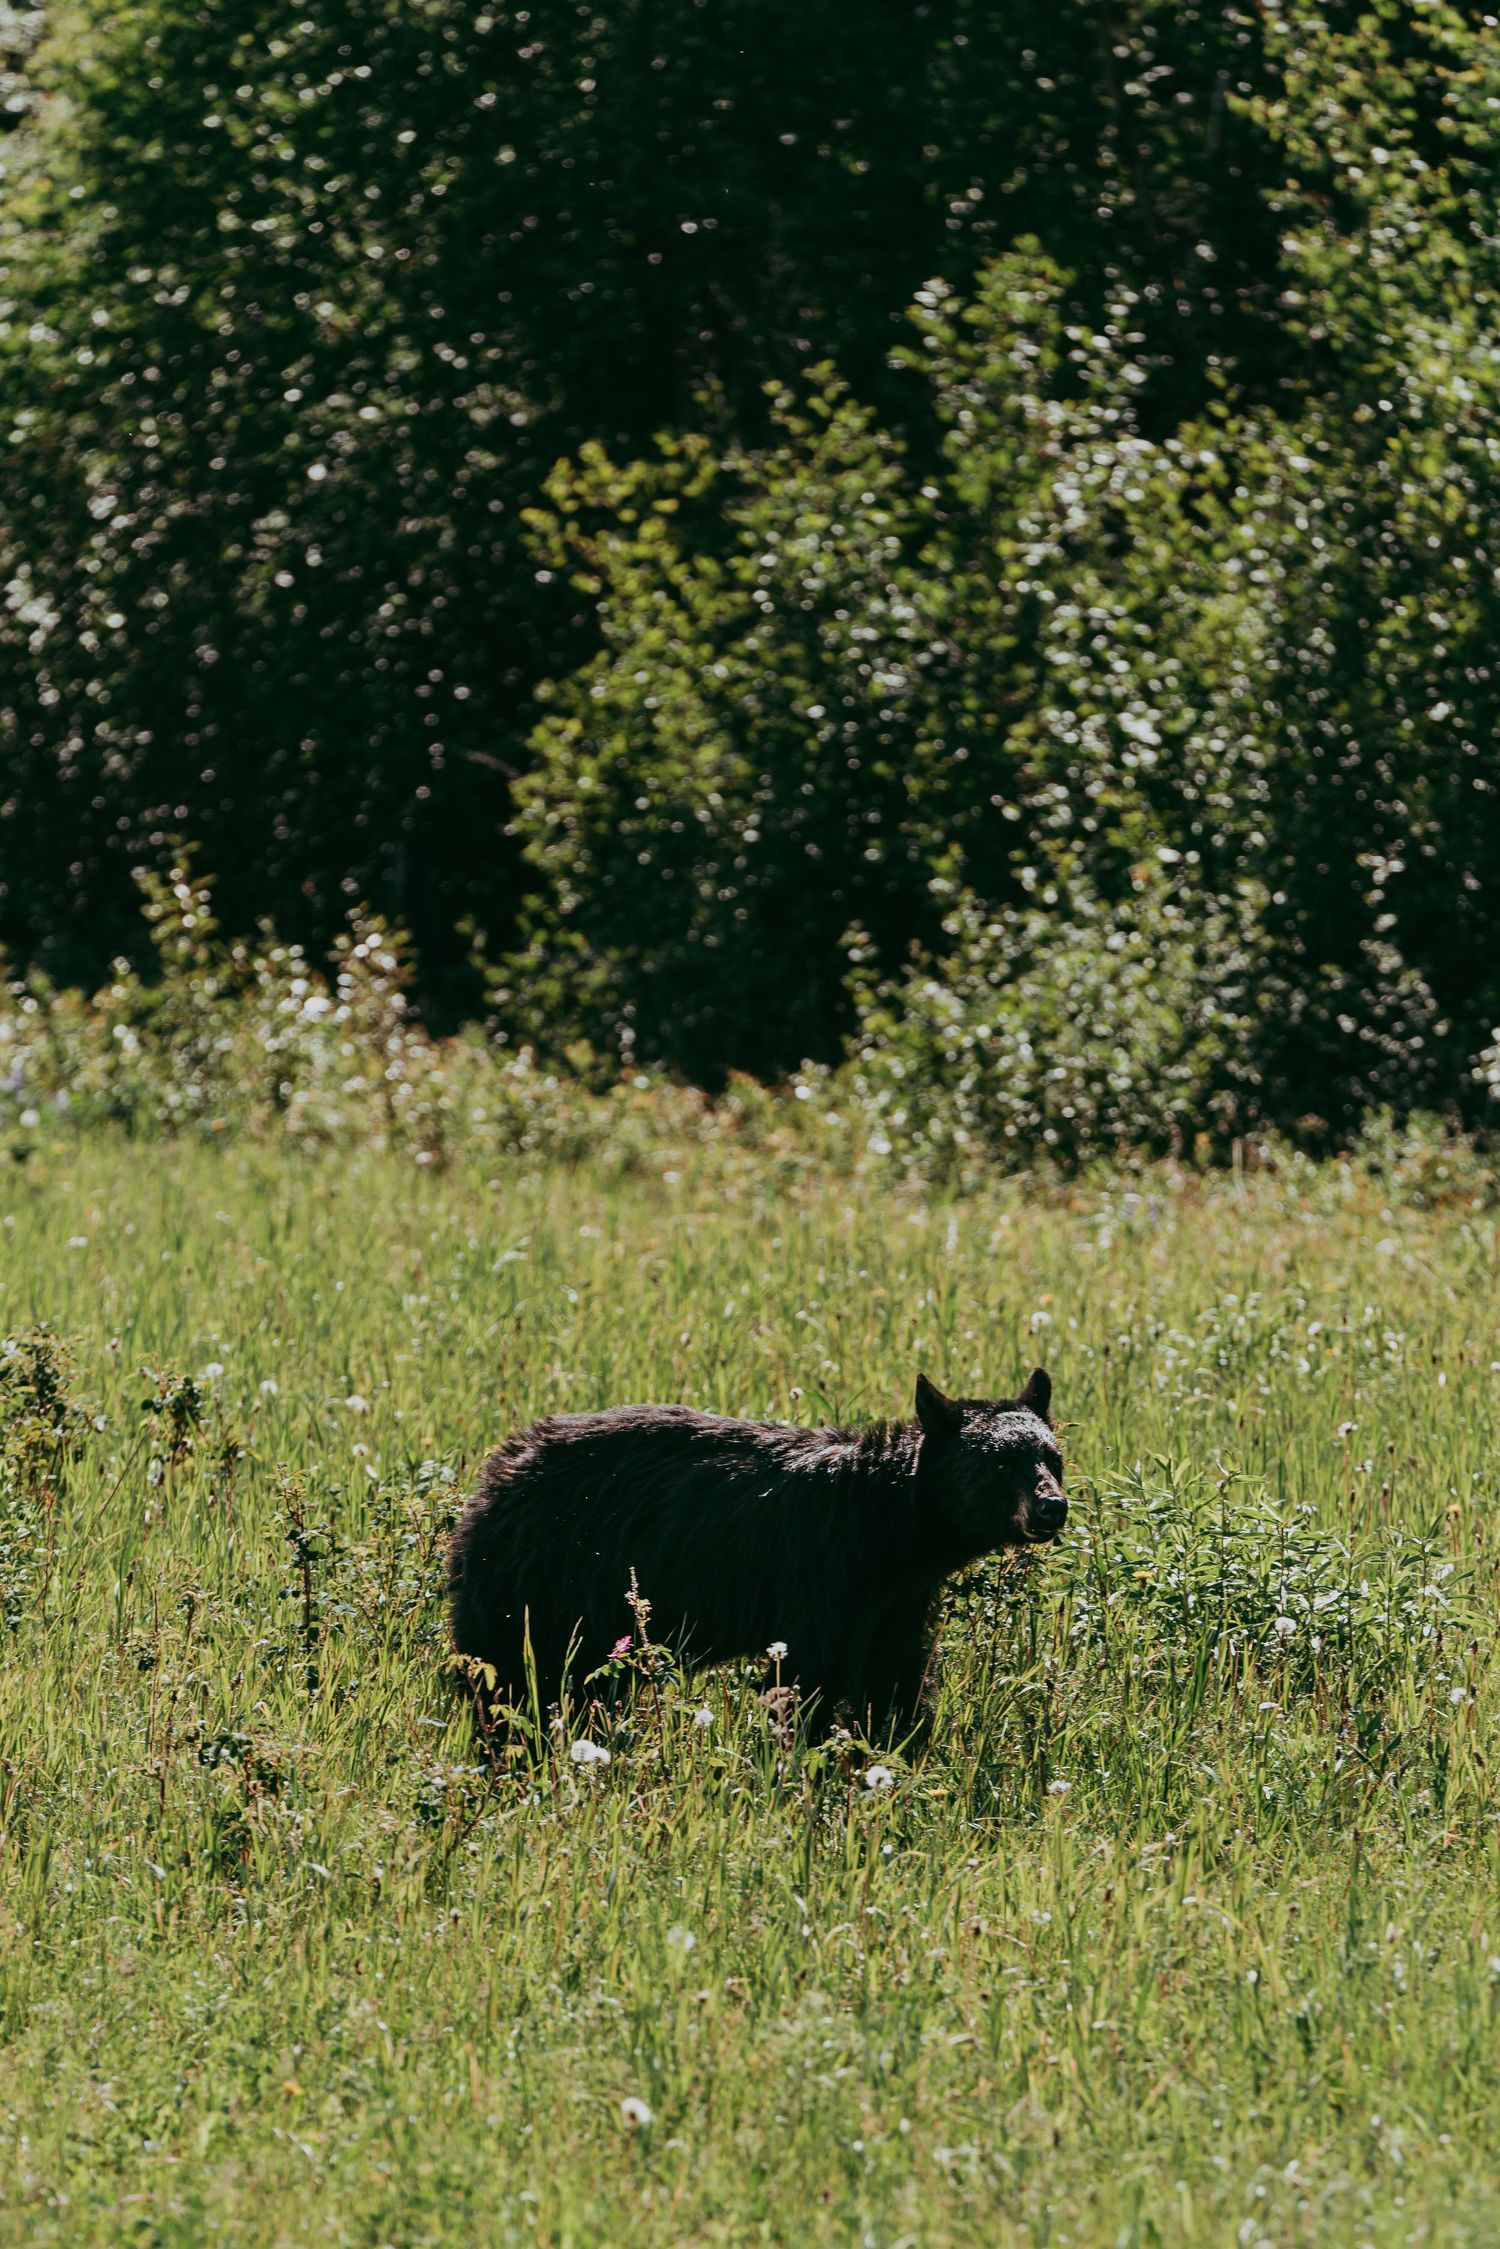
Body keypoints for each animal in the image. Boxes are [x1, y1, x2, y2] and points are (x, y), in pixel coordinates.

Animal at [447, 1367, 1066, 1737]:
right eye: (1000, 1464)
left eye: (1052, 1457)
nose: (1051, 1507)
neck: (888, 1529)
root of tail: (500, 1467)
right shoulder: (821, 1574)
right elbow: (808, 1678)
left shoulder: (899, 1601)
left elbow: (896, 1681)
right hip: (537, 1579)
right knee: (508, 1677)